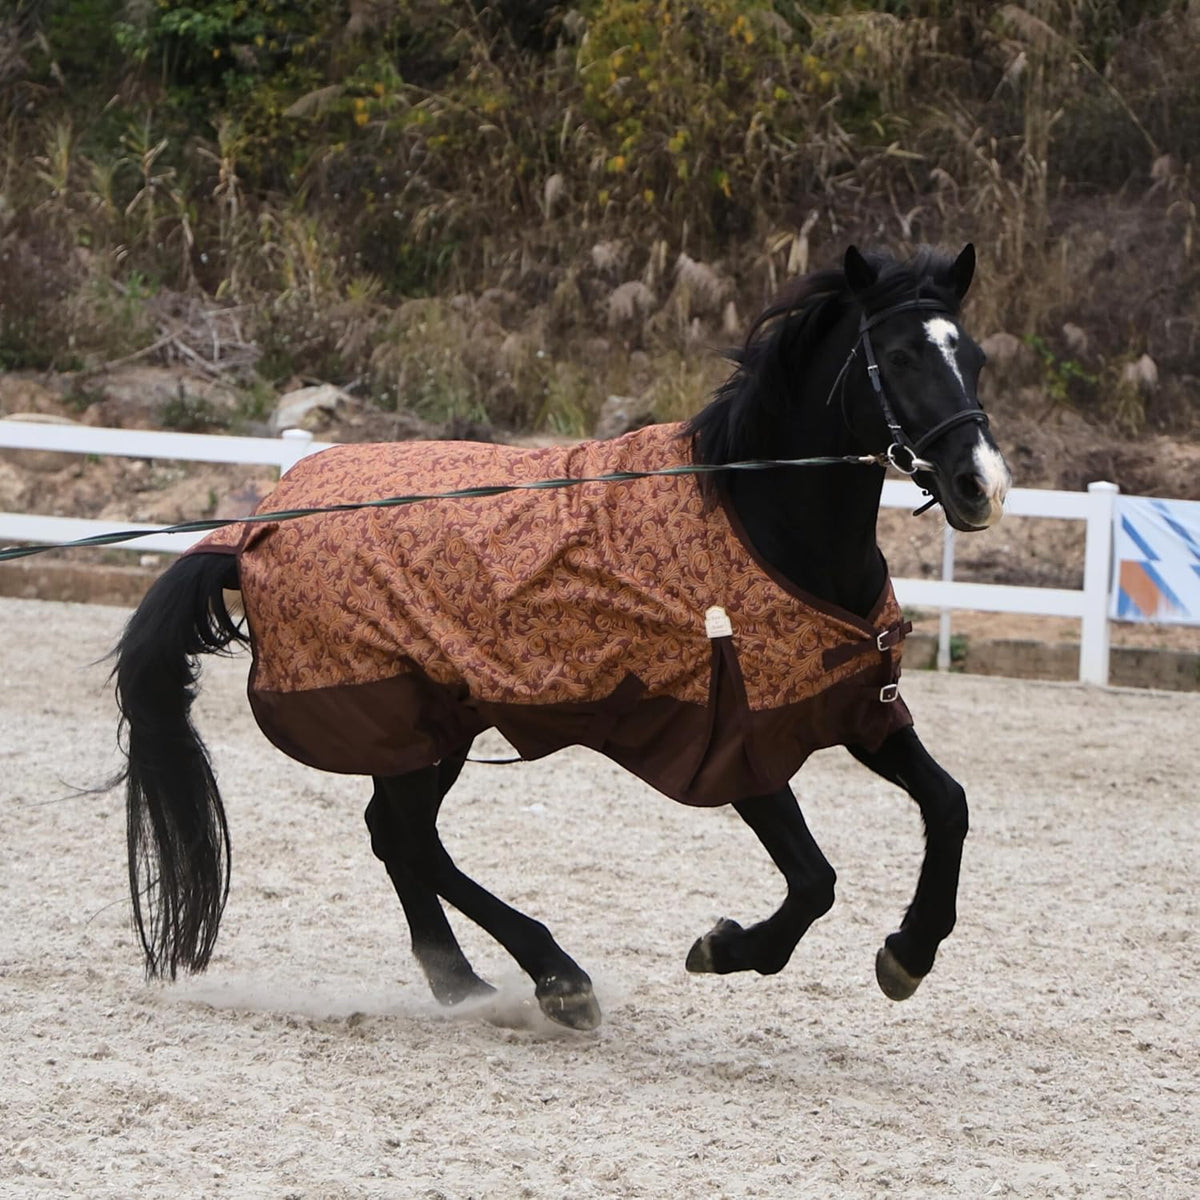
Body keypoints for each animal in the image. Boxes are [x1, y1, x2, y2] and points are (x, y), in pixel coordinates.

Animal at [113, 244, 1010, 1031]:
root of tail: (249, 532)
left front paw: (908, 953)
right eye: (899, 356)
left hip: (437, 725)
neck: (761, 521)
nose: (982, 486)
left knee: (399, 838)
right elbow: (816, 880)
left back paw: (467, 984)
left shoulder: (856, 705)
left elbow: (950, 805)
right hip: (404, 716)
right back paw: (553, 979)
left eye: (973, 356)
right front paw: (726, 948)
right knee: (408, 839)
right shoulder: (737, 738)